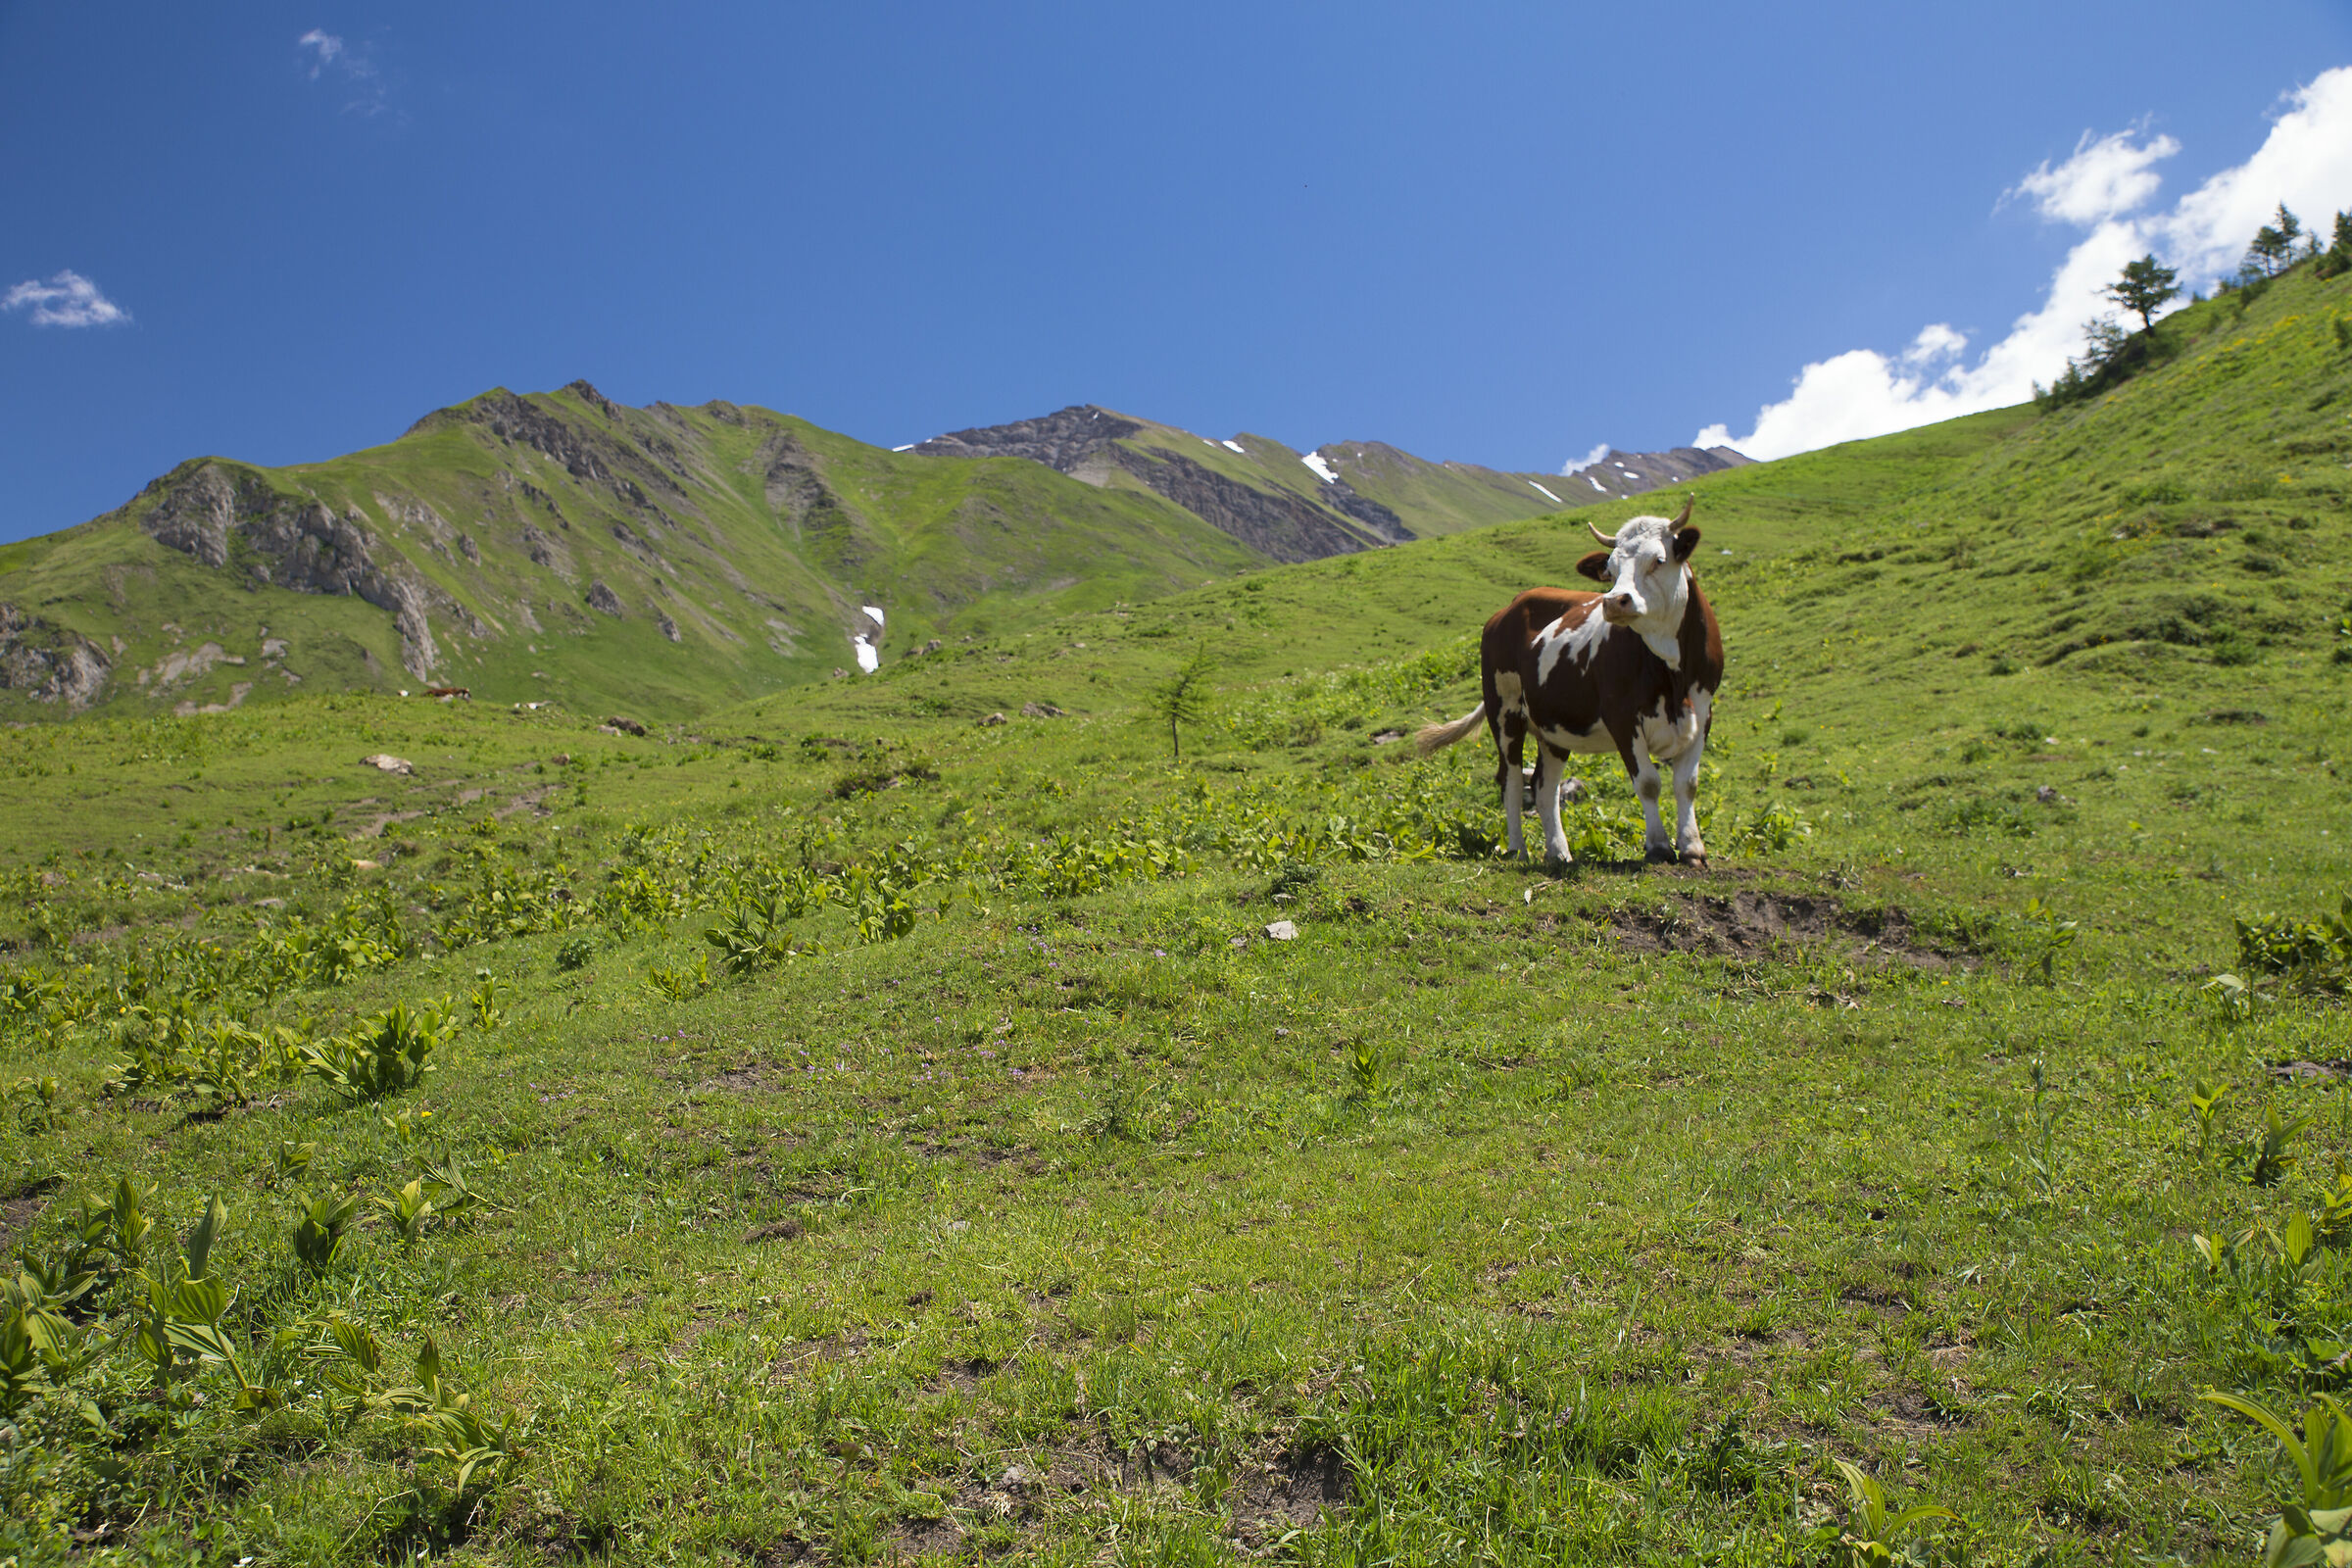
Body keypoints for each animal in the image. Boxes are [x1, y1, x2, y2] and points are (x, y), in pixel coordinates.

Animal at [1416, 496, 1723, 869]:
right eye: (1610, 570)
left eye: (1659, 560)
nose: (1614, 601)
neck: (1673, 671)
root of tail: (1507, 609)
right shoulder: (1621, 715)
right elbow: (1649, 782)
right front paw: (1659, 847)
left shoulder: (1703, 710)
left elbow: (1687, 783)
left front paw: (1692, 848)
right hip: (1504, 710)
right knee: (1512, 780)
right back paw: (1518, 848)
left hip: (1552, 727)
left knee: (1544, 787)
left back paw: (1559, 852)